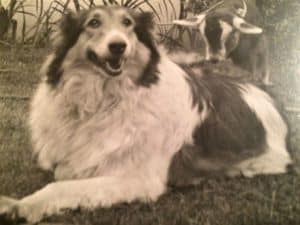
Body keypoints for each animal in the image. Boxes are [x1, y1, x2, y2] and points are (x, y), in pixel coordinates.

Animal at [0, 5, 292, 223]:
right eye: (93, 22)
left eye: (128, 23)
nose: (118, 46)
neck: (105, 99)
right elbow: (64, 173)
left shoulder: (139, 180)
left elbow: (61, 185)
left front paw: (22, 205)